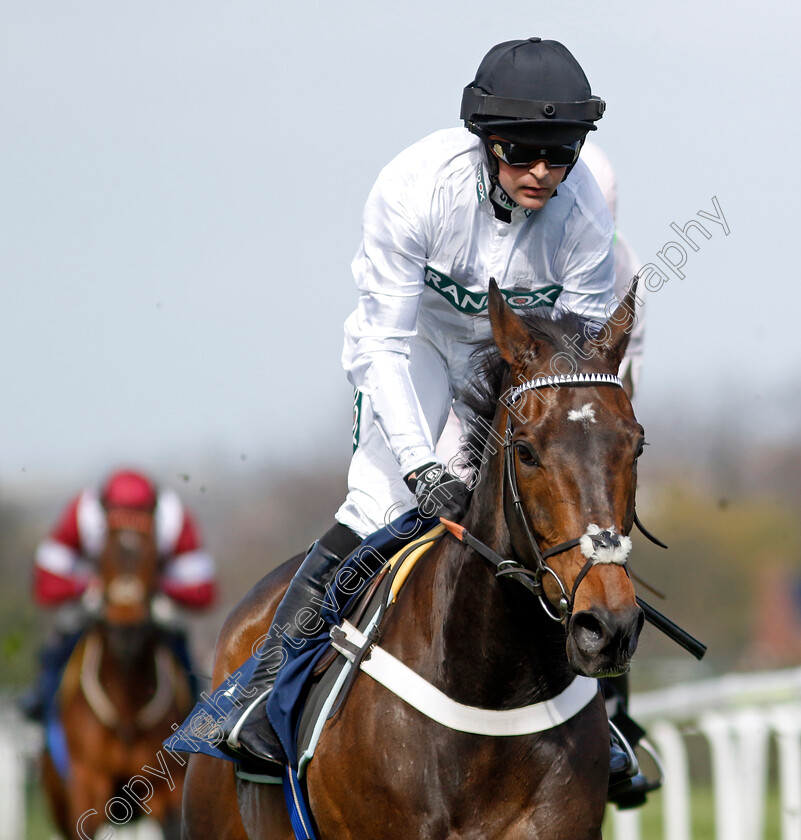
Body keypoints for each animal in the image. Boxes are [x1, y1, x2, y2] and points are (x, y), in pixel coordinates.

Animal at [41, 502, 194, 836]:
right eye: (101, 555)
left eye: (155, 557)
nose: (127, 632)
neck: (126, 706)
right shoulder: (87, 783)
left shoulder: (167, 786)